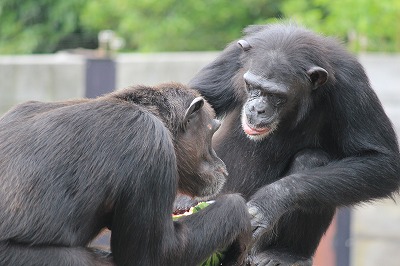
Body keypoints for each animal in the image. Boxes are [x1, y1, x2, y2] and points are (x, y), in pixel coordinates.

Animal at [188, 23, 400, 266]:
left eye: (276, 95)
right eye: (251, 85)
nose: (257, 109)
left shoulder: (353, 85)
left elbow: (380, 160)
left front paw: (271, 200)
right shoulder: (230, 59)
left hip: (255, 244)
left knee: (313, 159)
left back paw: (284, 254)